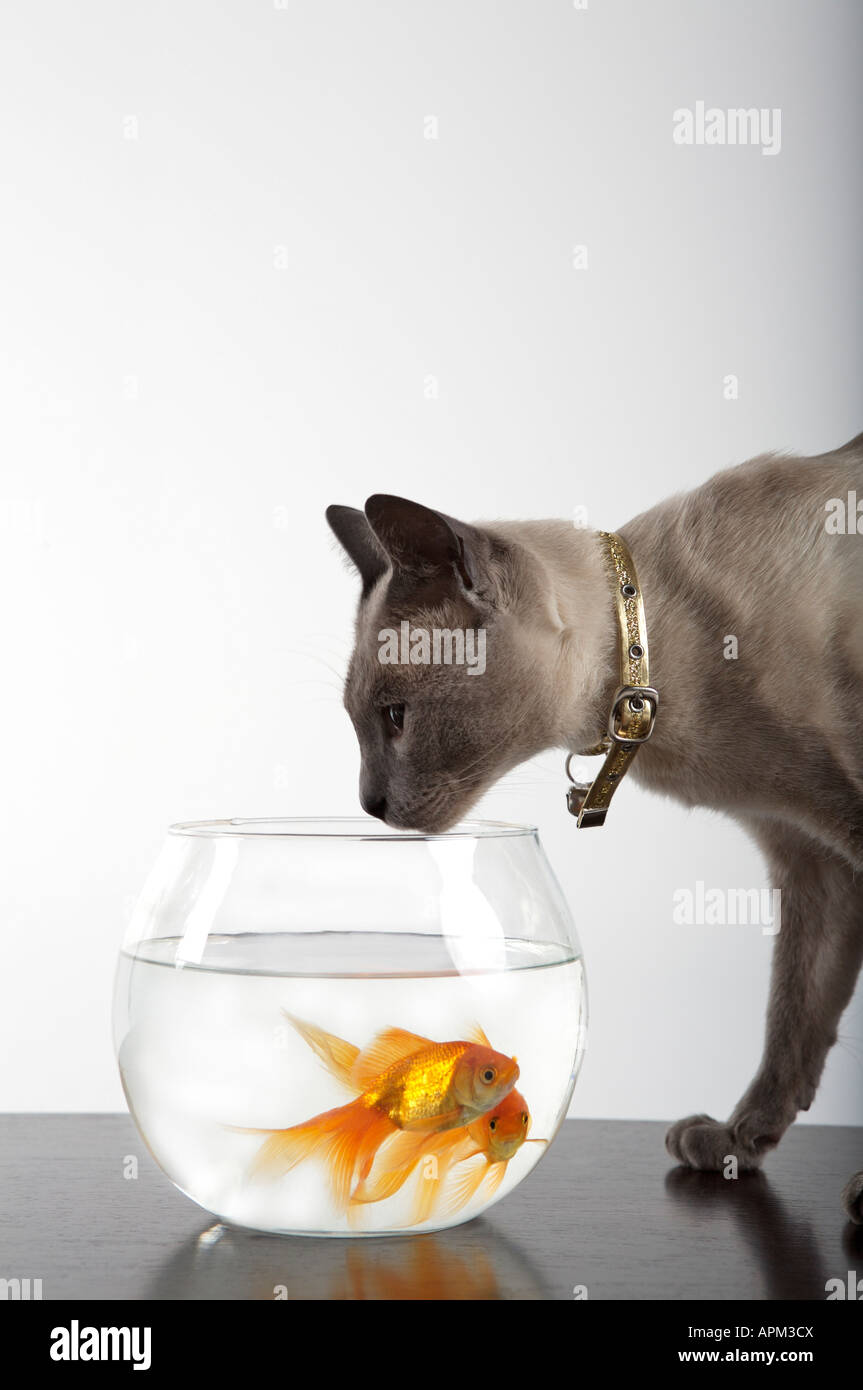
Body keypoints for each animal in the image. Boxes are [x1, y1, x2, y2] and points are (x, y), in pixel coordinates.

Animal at [325, 430, 861, 1217]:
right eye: (357, 723)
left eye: (395, 717)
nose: (367, 804)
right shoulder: (811, 858)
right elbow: (792, 1020)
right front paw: (736, 1143)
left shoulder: (839, 835)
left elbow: (798, 1017)